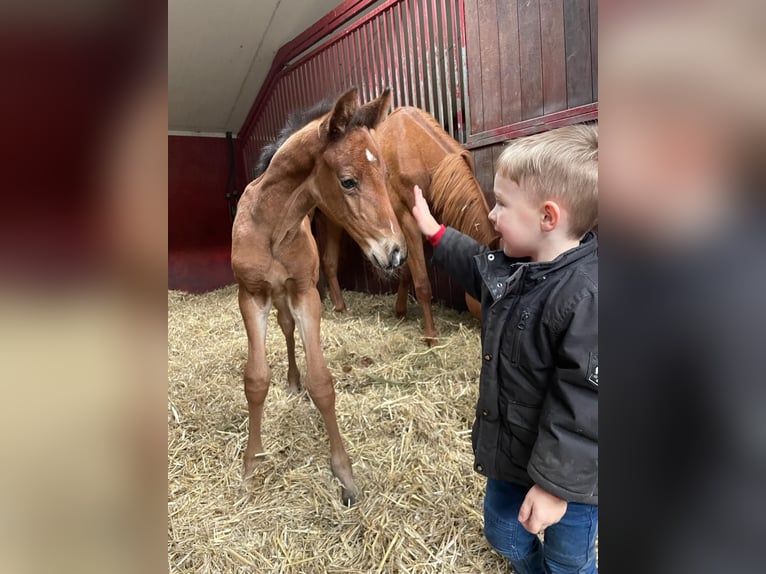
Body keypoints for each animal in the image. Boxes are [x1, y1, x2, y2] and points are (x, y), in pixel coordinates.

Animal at [316, 106, 498, 344]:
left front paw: (400, 311)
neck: (415, 150)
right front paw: (431, 336)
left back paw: (340, 307)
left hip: (336, 222)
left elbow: (406, 272)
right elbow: (421, 282)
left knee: (329, 262)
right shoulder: (408, 221)